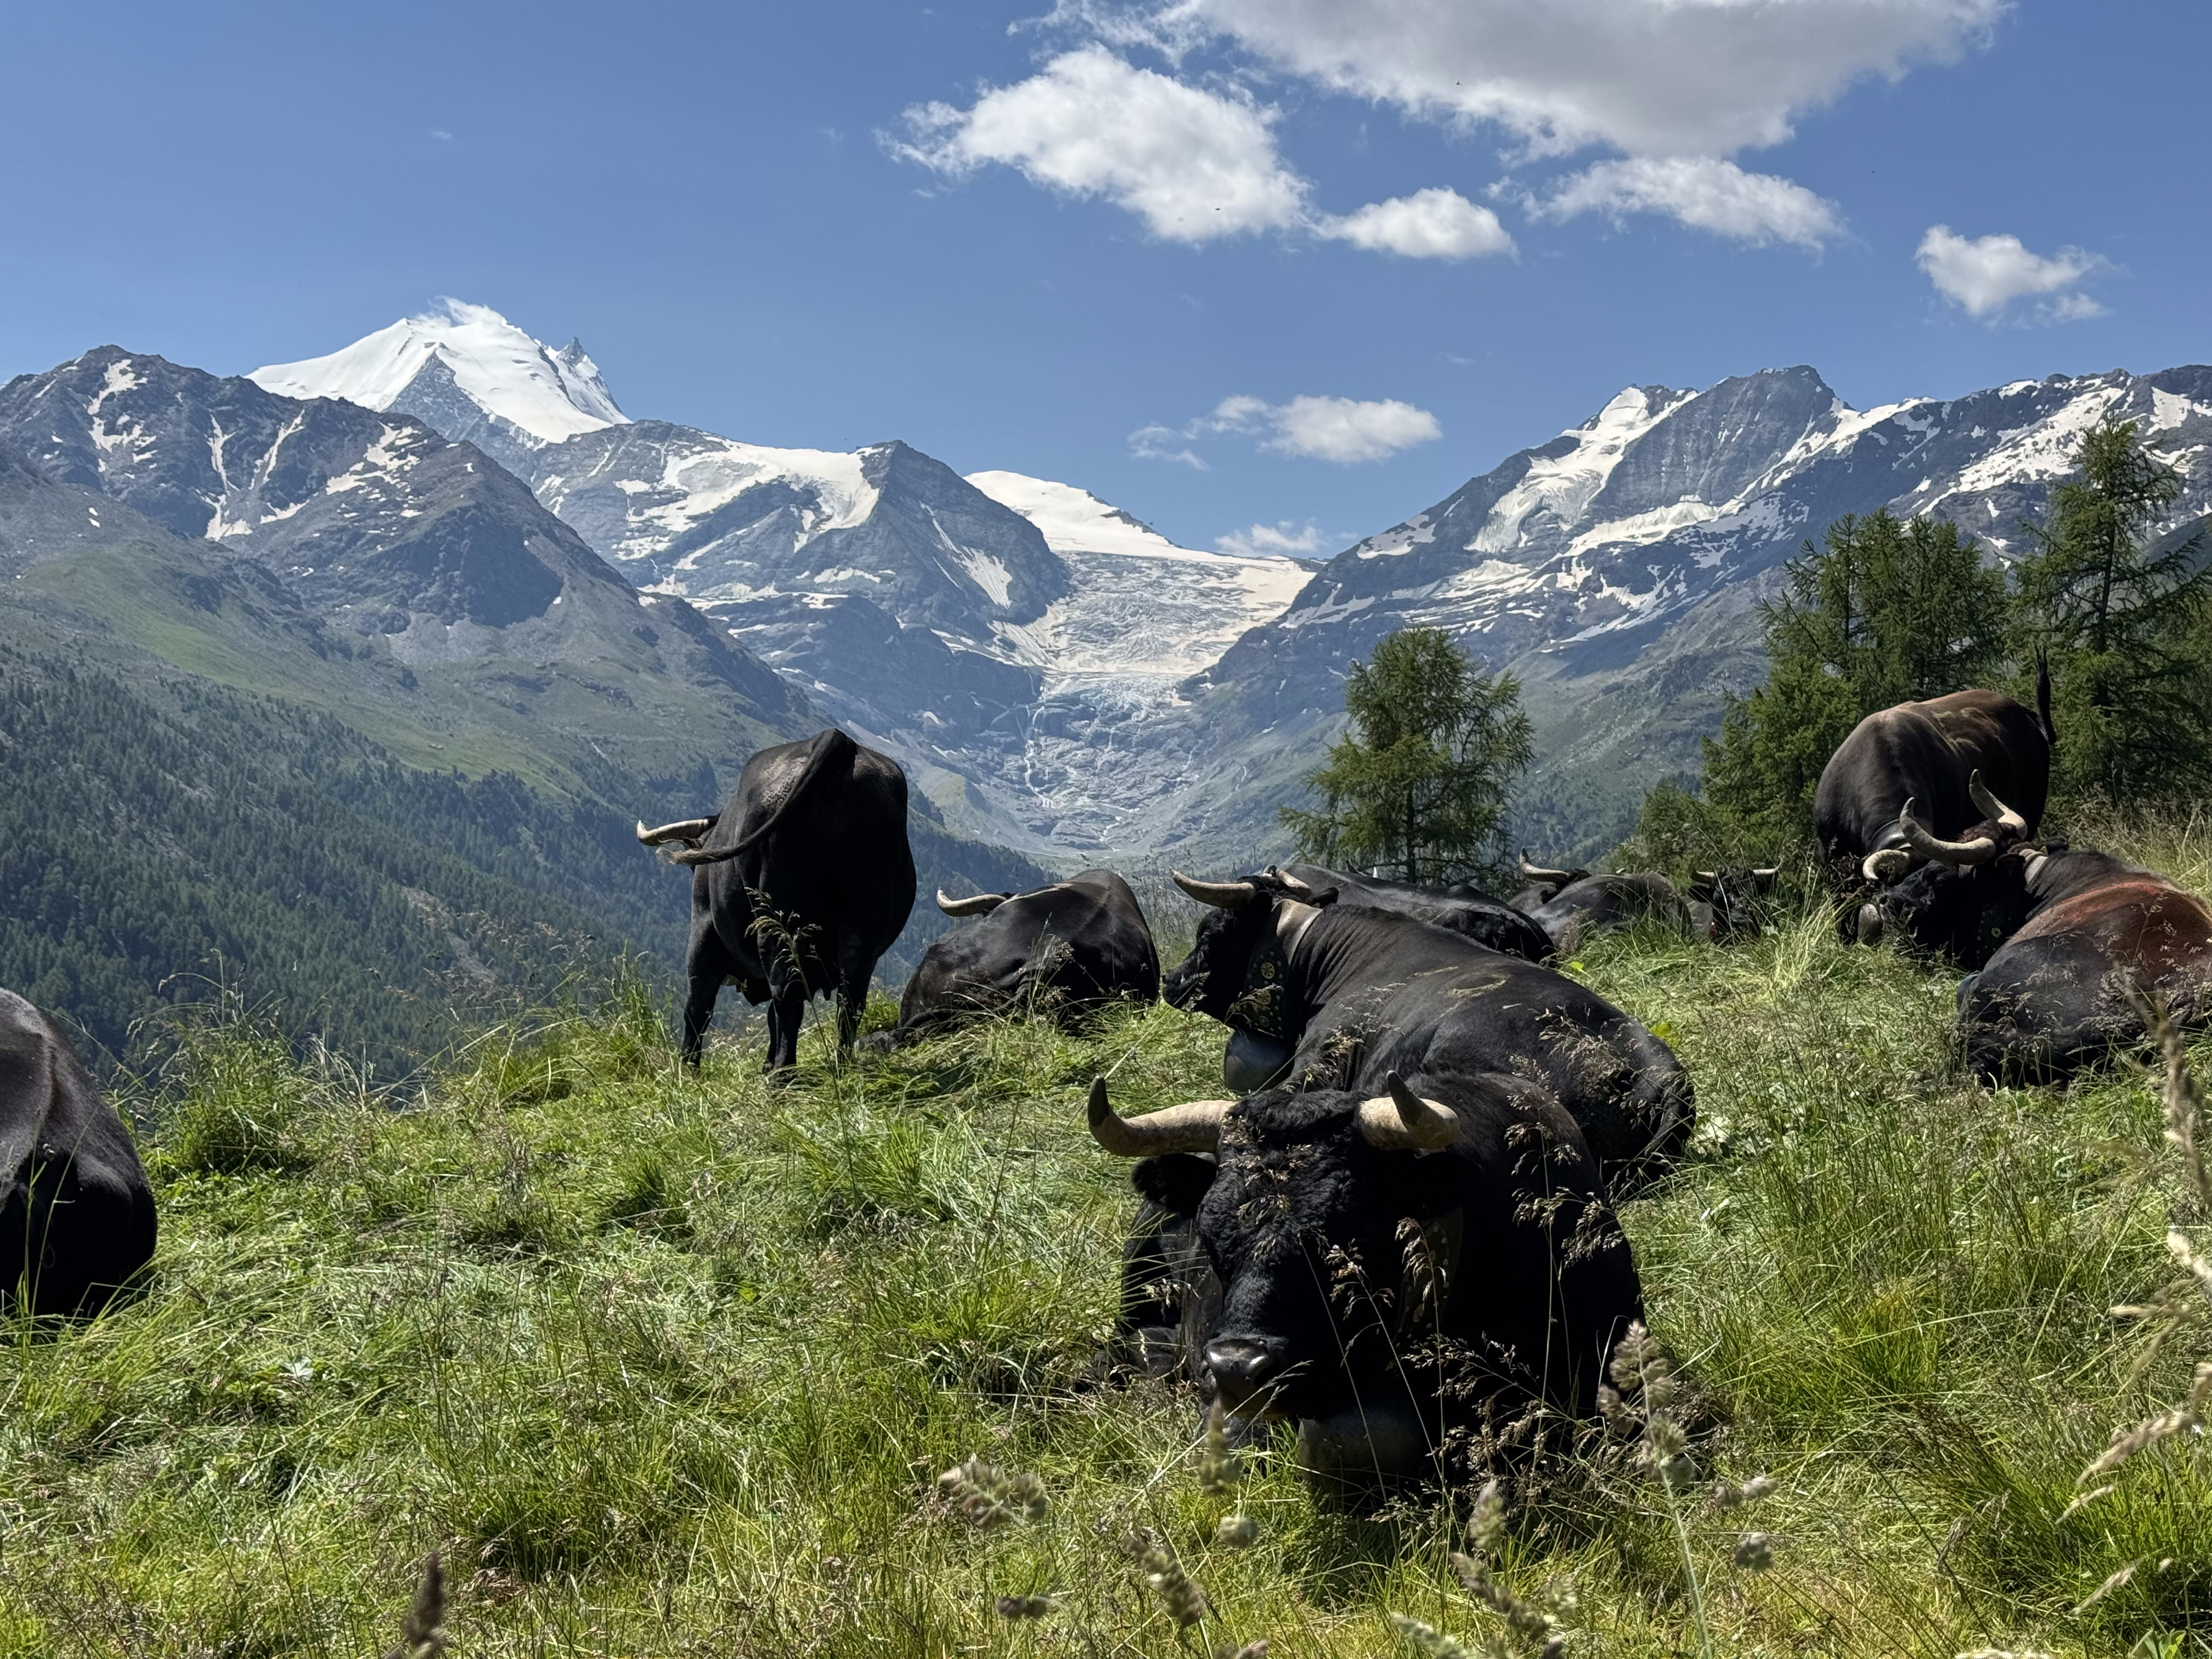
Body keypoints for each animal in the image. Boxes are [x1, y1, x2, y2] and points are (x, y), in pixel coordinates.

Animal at [637, 729, 915, 1072]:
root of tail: (836, 740)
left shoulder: (704, 931)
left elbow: (698, 1007)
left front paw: (688, 1070)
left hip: (776, 916)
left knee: (786, 992)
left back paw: (783, 1074)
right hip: (863, 917)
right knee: (851, 996)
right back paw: (841, 1064)